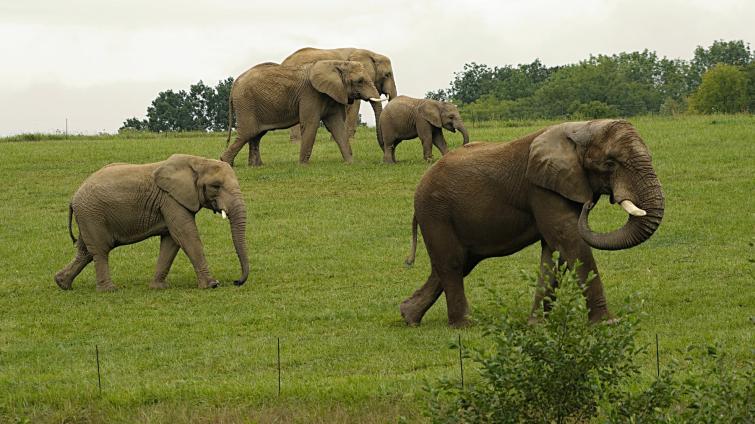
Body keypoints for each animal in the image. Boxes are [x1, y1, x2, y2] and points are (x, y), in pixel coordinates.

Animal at [57, 155, 251, 292]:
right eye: (216, 186)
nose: (236, 281)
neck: (197, 161)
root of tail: (73, 197)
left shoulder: (170, 202)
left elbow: (171, 241)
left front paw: (157, 288)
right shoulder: (171, 199)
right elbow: (186, 236)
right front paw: (212, 285)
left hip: (88, 216)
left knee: (85, 252)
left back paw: (61, 283)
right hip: (92, 215)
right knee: (100, 250)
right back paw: (109, 290)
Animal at [221, 60, 380, 166]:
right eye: (359, 81)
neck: (336, 63)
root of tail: (234, 83)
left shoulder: (332, 94)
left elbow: (337, 126)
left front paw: (351, 163)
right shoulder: (310, 94)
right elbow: (311, 124)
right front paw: (303, 165)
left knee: (256, 135)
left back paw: (256, 166)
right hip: (246, 103)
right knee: (247, 133)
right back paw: (226, 163)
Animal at [402, 119, 660, 328]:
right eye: (610, 163)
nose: (589, 205)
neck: (582, 128)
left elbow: (554, 253)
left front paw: (536, 325)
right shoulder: (540, 188)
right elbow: (569, 240)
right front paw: (607, 323)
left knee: (456, 264)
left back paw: (409, 317)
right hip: (435, 212)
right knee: (452, 264)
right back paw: (464, 325)